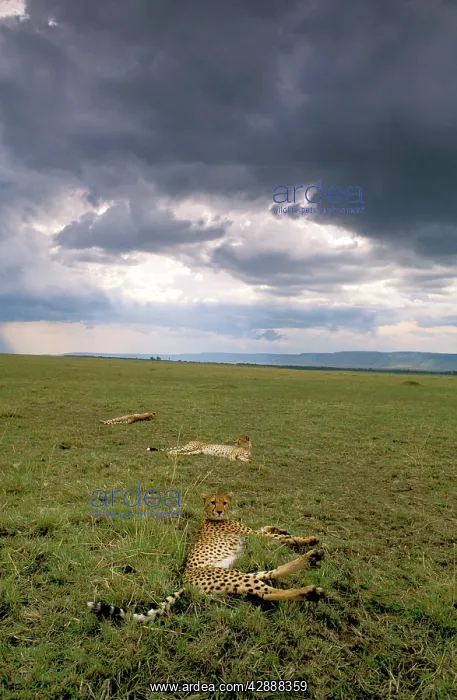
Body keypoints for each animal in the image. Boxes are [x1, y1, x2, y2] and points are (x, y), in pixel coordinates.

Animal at [87, 493, 325, 624]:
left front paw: (282, 529)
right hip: (229, 576)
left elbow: (271, 530)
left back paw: (311, 559)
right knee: (266, 593)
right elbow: (280, 537)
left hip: (235, 574)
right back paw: (310, 590)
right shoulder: (250, 533)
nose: (219, 511)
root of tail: (185, 581)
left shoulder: (250, 531)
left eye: (224, 502)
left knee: (270, 575)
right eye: (212, 502)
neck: (212, 518)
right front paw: (308, 539)